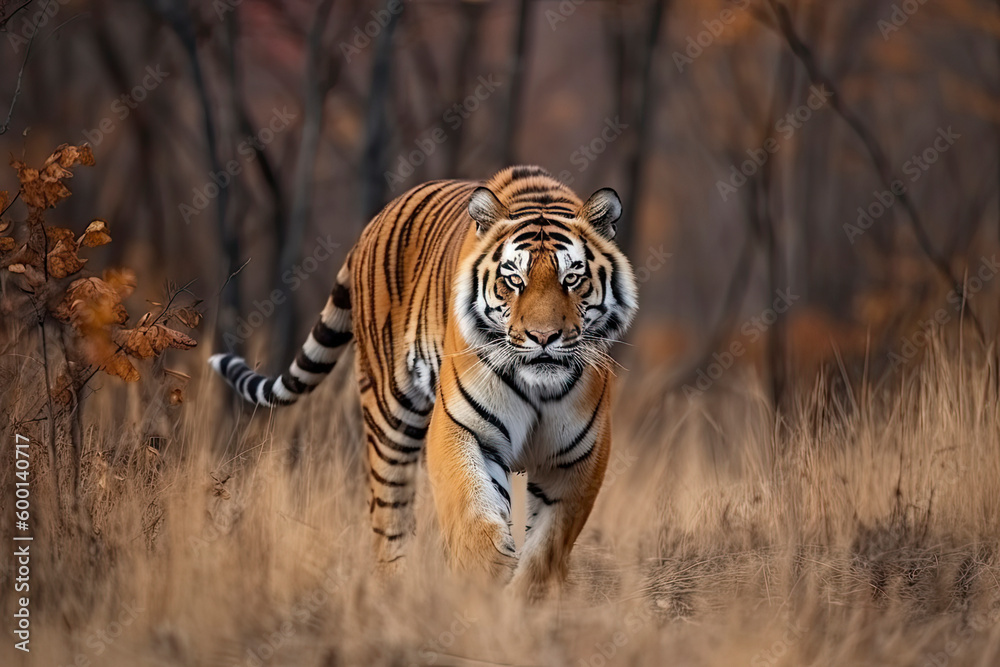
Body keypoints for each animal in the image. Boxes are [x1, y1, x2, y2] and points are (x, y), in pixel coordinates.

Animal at [209, 165, 638, 598]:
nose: (543, 337)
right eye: (514, 280)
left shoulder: (580, 456)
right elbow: (468, 503)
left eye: (572, 279)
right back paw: (393, 591)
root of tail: (374, 221)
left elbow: (550, 541)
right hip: (389, 419)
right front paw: (483, 575)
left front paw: (526, 595)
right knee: (389, 516)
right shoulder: (462, 427)